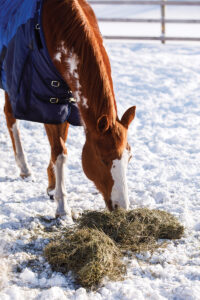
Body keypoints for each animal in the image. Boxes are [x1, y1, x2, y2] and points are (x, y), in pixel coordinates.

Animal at [1, 0, 136, 217]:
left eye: (129, 157)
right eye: (103, 159)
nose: (121, 208)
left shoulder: (66, 101)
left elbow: (57, 146)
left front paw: (52, 187)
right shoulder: (47, 99)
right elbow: (60, 152)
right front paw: (62, 207)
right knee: (10, 117)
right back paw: (25, 168)